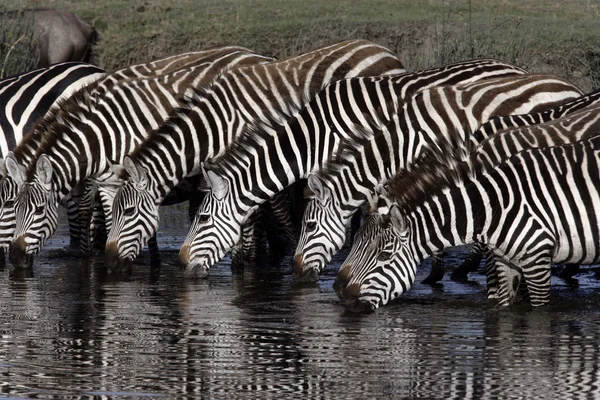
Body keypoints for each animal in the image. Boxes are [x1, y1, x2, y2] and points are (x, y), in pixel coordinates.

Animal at [2, 46, 274, 266]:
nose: (14, 259)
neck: (104, 136)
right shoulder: (109, 183)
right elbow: (117, 221)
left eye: (38, 210)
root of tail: (260, 56)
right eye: (14, 207)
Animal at [102, 39, 408, 268]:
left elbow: (254, 213)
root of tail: (384, 50)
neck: (217, 125)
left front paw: (249, 260)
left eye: (127, 211)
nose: (110, 258)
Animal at [336, 103, 600, 310]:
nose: (340, 291)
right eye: (355, 242)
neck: (493, 204)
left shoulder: (537, 259)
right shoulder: (506, 261)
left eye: (384, 255)